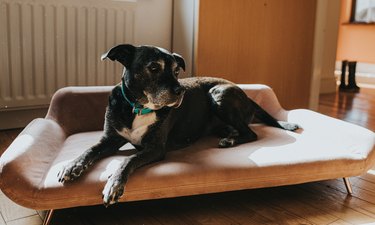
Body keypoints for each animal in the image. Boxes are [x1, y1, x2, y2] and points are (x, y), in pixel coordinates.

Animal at [57, 44, 302, 206]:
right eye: (153, 67)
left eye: (176, 71)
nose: (180, 91)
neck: (139, 107)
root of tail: (246, 94)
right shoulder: (109, 139)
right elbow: (89, 150)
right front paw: (71, 165)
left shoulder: (155, 148)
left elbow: (128, 159)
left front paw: (114, 183)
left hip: (219, 94)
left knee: (251, 134)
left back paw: (231, 140)